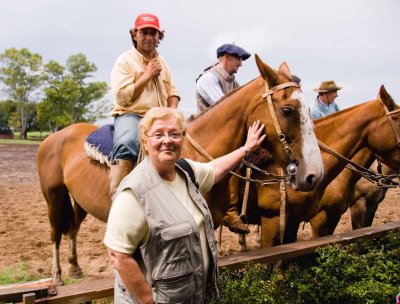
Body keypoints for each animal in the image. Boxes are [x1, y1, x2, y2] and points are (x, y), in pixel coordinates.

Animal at [36, 54, 324, 284]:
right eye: (287, 109)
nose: (314, 175)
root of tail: (54, 137)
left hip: (77, 201)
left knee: (72, 228)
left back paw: (75, 268)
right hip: (53, 196)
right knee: (55, 233)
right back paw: (57, 276)